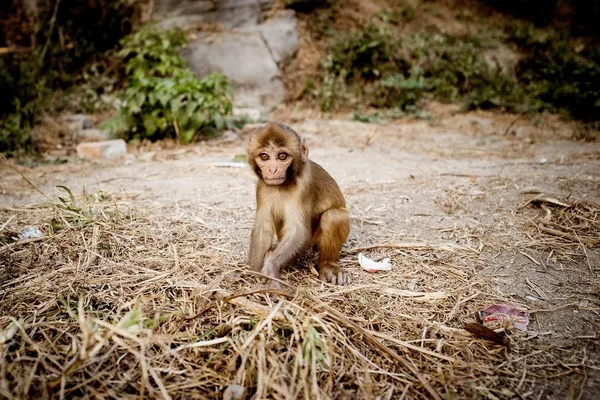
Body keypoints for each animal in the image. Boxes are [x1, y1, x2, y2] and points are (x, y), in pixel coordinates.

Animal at [247, 123, 352, 286]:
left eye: (282, 156)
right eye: (264, 156)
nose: (272, 169)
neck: (284, 184)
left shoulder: (305, 184)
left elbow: (297, 230)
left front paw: (271, 265)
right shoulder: (262, 188)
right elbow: (263, 228)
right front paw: (257, 271)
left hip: (311, 244)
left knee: (334, 216)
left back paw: (328, 265)